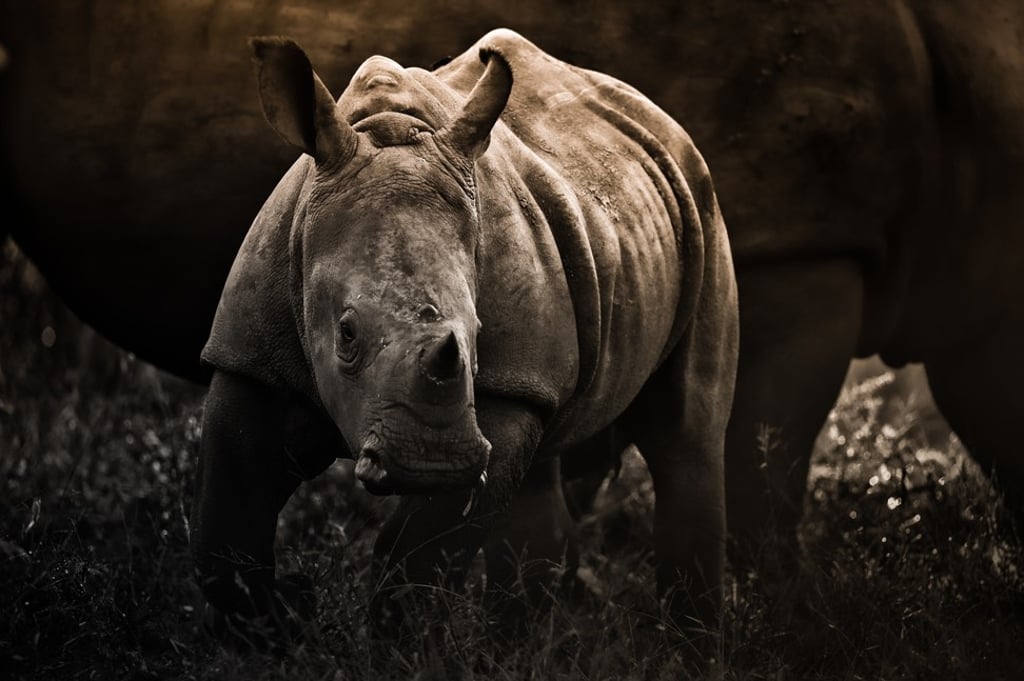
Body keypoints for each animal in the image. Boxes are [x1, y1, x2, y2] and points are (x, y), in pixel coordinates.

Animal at [190, 29, 738, 633]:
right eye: (347, 334)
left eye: (478, 332)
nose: (433, 462)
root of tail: (660, 120)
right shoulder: (251, 354)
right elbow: (226, 525)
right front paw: (288, 611)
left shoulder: (509, 383)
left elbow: (418, 554)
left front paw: (393, 636)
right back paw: (519, 639)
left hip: (702, 209)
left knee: (686, 437)